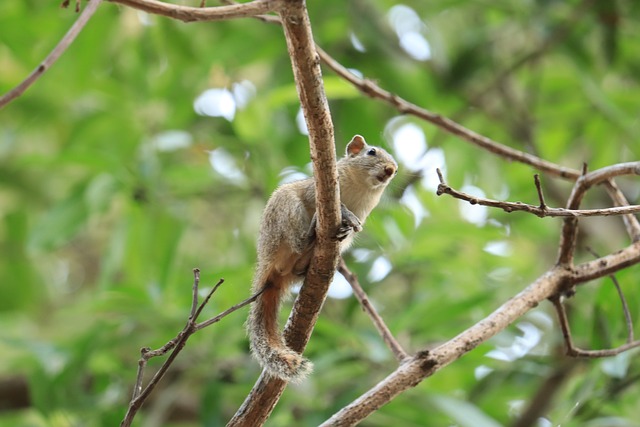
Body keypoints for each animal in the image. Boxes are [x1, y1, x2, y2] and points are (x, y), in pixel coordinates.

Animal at [248, 134, 398, 382]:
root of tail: (267, 264)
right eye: (371, 152)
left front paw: (349, 226)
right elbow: (330, 203)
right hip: (286, 212)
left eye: (396, 168)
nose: (390, 170)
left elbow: (355, 228)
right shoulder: (315, 191)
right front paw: (347, 214)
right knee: (297, 240)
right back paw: (309, 234)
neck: (360, 188)